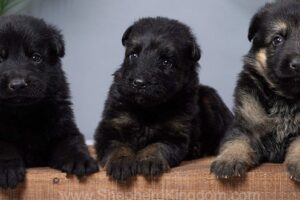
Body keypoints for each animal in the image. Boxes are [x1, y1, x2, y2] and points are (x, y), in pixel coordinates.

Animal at [0, 14, 98, 188]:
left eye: (36, 57)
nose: (18, 84)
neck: (23, 114)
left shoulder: (63, 127)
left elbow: (72, 142)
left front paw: (81, 160)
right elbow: (4, 147)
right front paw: (7, 169)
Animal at [94, 16, 232, 180]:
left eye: (166, 62)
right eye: (133, 55)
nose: (139, 83)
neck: (149, 109)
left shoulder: (174, 134)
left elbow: (157, 145)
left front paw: (149, 160)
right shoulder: (111, 125)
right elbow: (117, 145)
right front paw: (121, 162)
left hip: (209, 98)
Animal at [211, 0, 300, 181]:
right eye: (277, 40)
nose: (297, 63)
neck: (285, 97)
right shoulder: (245, 123)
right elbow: (236, 140)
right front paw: (229, 159)